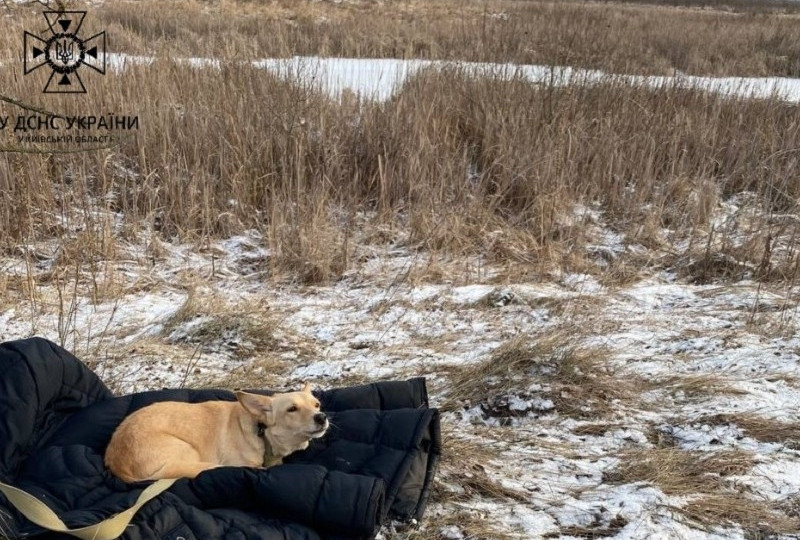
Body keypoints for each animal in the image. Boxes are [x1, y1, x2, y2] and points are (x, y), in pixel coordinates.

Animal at [104, 382, 326, 484]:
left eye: (317, 404)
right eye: (292, 409)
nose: (322, 417)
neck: (261, 431)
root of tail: (117, 463)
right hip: (187, 451)